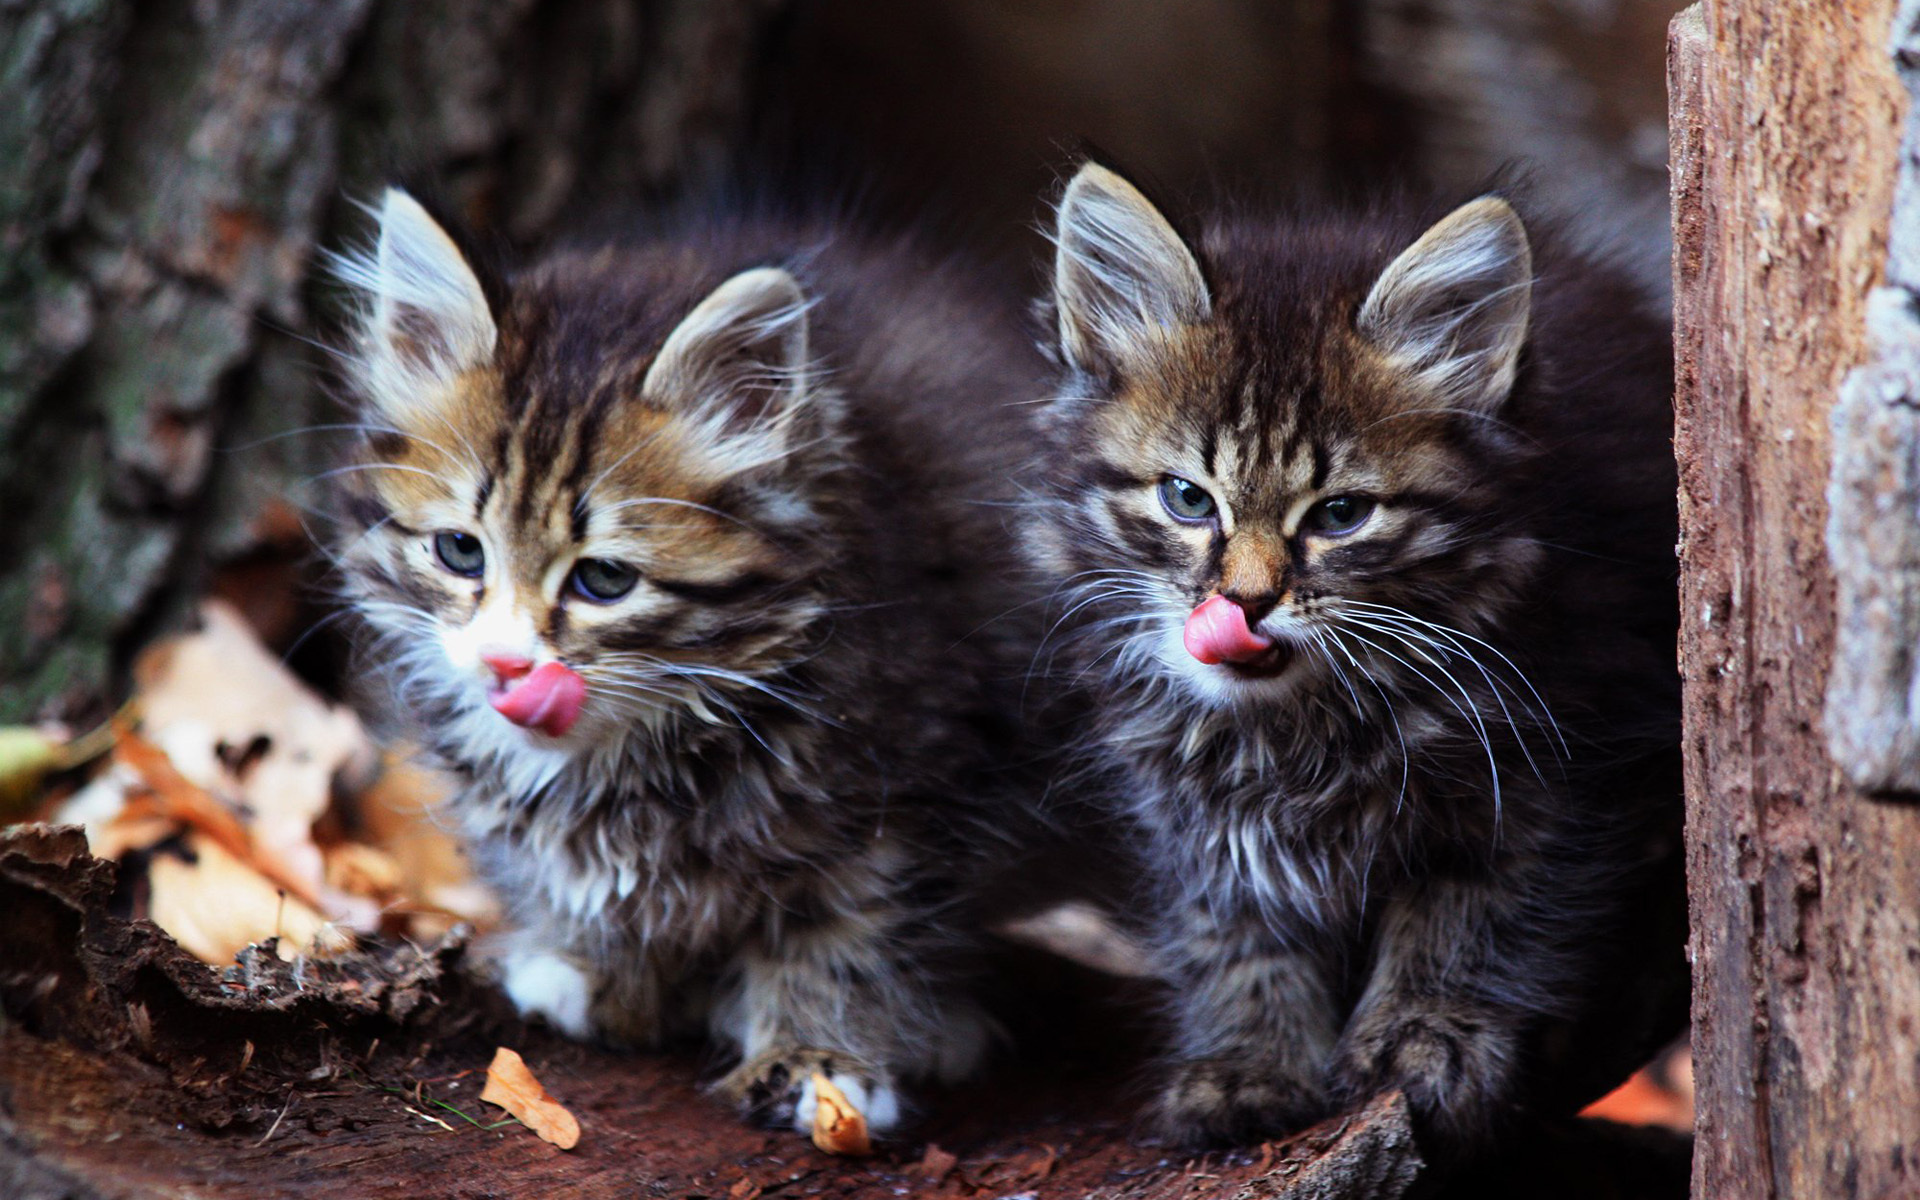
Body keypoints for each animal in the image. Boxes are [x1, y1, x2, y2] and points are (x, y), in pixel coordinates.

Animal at [330, 187, 1052, 1128]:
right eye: (460, 552)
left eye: (603, 579)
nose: (504, 665)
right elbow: (583, 883)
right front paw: (606, 981)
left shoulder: (910, 792)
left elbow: (851, 929)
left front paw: (822, 1059)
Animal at [1036, 164, 1681, 1159]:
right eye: (1188, 499)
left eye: (1341, 515)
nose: (1244, 603)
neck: (1303, 722)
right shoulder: (1189, 797)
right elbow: (1236, 925)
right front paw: (1250, 1060)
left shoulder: (1554, 765)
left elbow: (1470, 915)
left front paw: (1425, 1036)